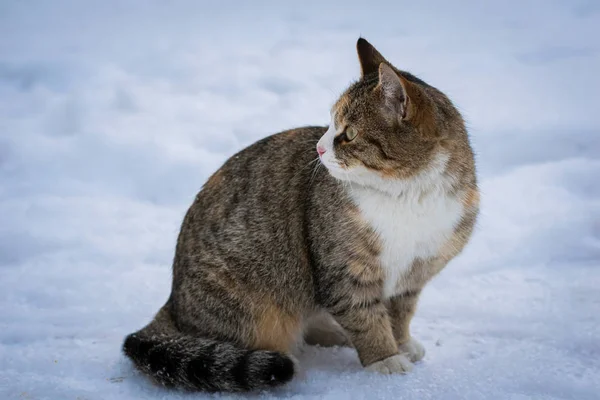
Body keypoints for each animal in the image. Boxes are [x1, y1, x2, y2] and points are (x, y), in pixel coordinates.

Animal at [122, 39, 478, 392]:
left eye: (349, 134)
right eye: (330, 124)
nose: (319, 148)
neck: (408, 194)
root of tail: (173, 301)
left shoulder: (415, 271)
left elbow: (400, 313)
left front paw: (400, 342)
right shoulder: (343, 270)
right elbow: (364, 316)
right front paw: (384, 357)